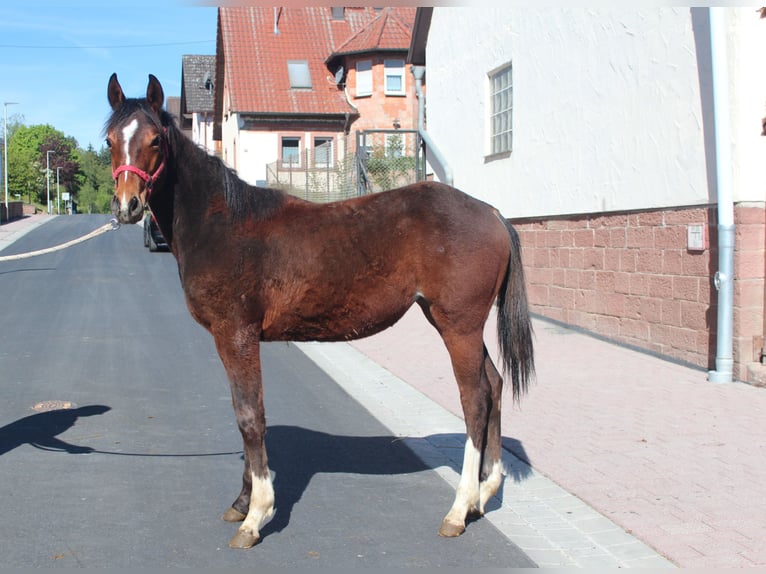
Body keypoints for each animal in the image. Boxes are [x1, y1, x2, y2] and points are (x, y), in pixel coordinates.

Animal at [105, 73, 534, 549]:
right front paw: (241, 502)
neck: (223, 223)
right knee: (494, 387)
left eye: (155, 140)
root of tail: (491, 213)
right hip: (459, 326)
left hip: (458, 325)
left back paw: (458, 509)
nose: (128, 205)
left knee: (475, 399)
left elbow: (250, 415)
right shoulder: (234, 339)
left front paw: (256, 516)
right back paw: (482, 495)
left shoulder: (236, 334)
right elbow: (243, 413)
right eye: (110, 141)